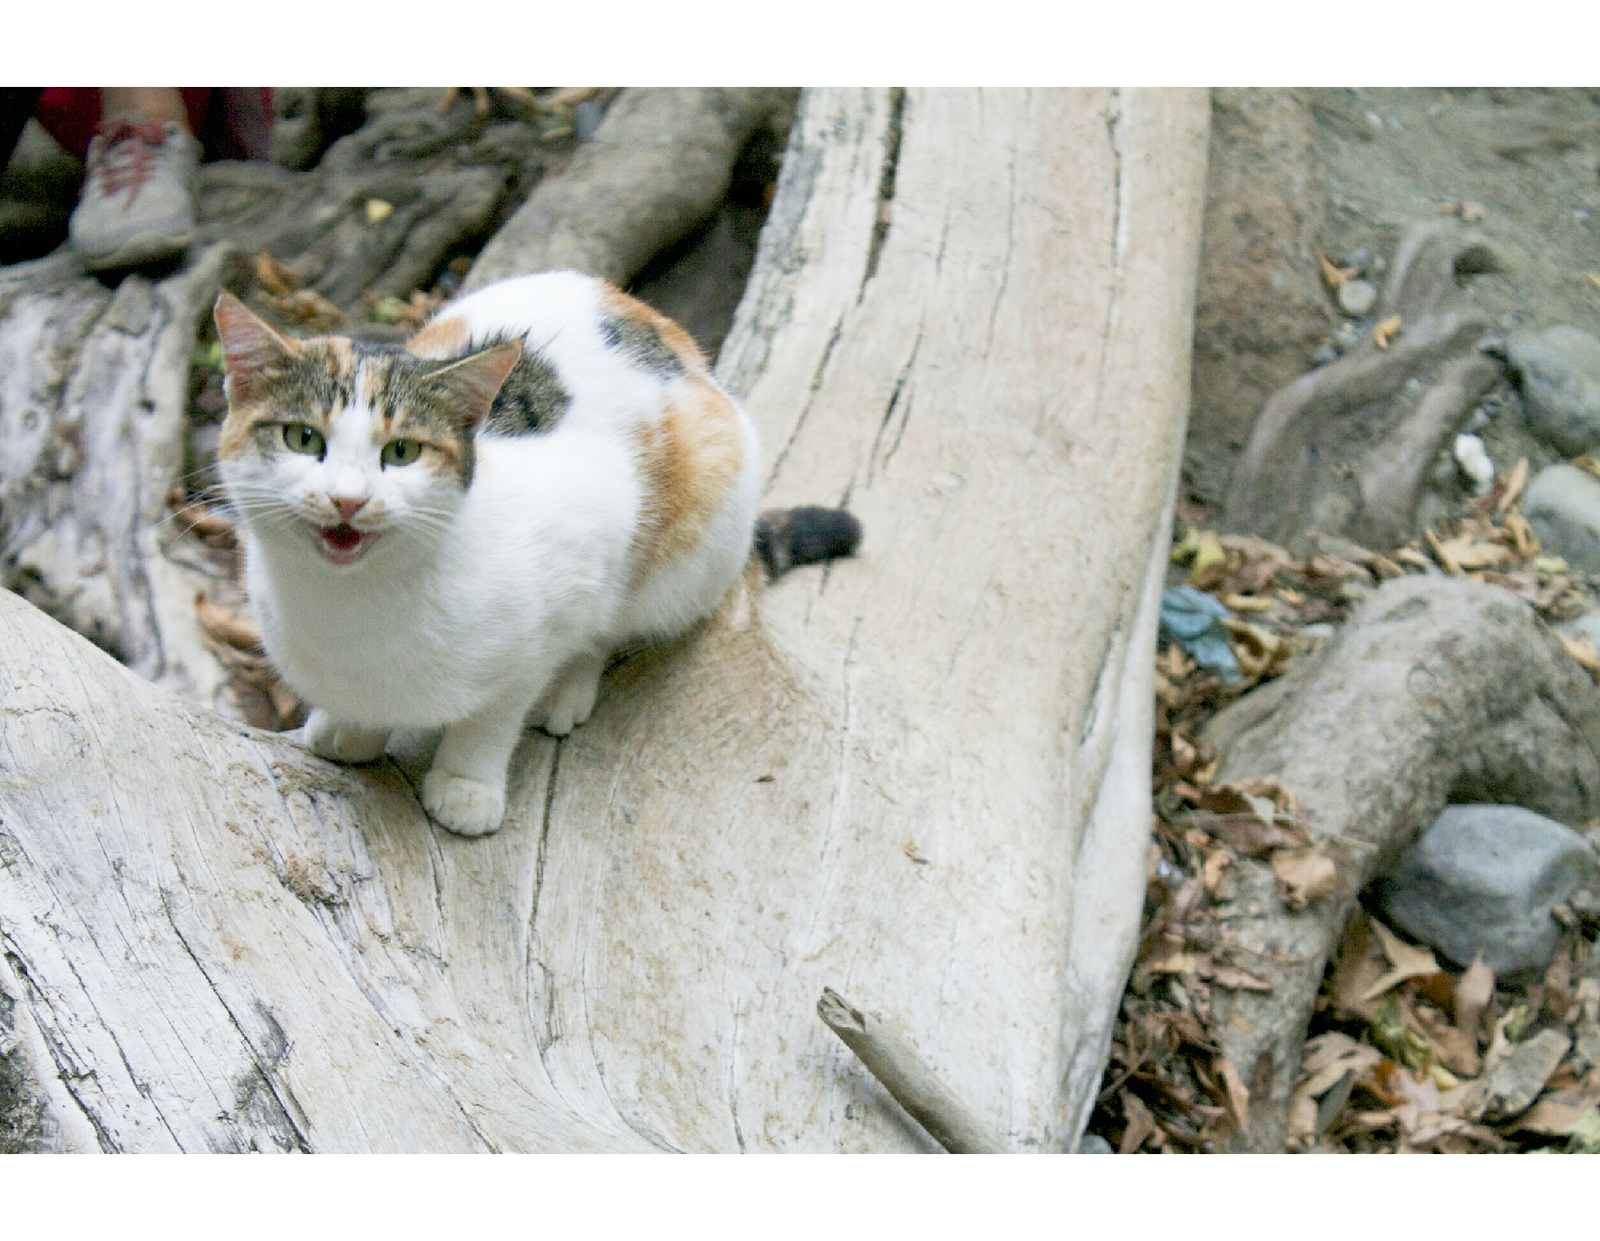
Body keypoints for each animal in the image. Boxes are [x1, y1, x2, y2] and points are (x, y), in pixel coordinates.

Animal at [217, 271, 857, 831]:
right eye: (302, 438)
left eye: (401, 452)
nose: (347, 500)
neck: (350, 607)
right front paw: (352, 729)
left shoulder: (570, 575)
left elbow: (498, 712)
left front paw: (466, 784)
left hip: (691, 542)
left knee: (610, 625)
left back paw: (568, 689)